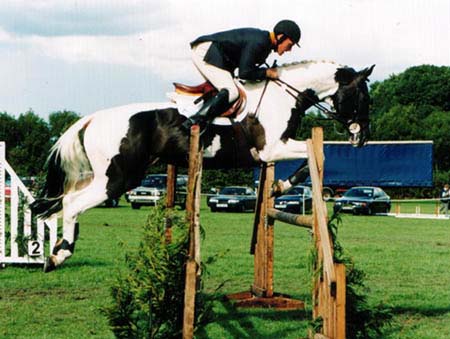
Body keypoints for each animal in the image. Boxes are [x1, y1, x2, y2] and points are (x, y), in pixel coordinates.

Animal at [31, 60, 374, 274]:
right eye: (362, 97)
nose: (362, 137)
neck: (281, 96)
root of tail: (92, 119)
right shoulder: (272, 148)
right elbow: (319, 152)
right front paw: (282, 185)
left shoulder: (274, 150)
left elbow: (313, 155)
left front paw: (278, 186)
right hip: (118, 178)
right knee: (71, 203)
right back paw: (59, 254)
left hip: (103, 176)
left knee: (61, 202)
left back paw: (52, 248)